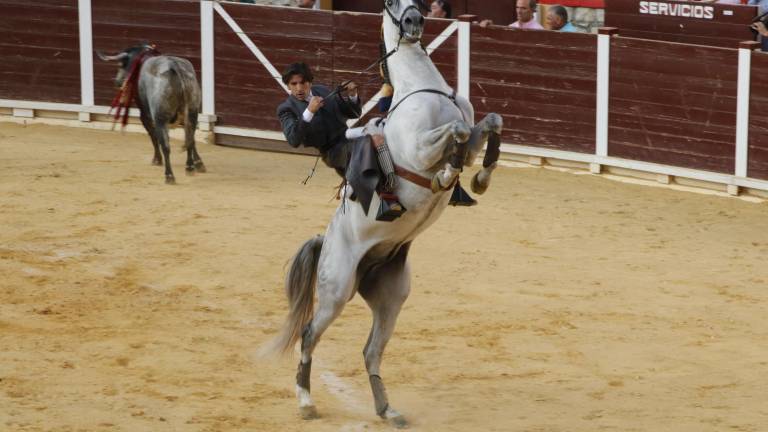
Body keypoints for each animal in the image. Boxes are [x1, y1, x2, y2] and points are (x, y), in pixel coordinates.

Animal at [99, 44, 207, 184]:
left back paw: (169, 175)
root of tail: (175, 66)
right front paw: (198, 163)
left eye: (120, 65)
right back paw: (189, 167)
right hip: (192, 113)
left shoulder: (145, 115)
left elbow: (153, 136)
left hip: (161, 118)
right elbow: (191, 140)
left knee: (166, 145)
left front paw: (157, 159)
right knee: (190, 138)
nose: (117, 82)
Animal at [268, 0, 508, 426]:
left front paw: (479, 177)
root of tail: (325, 241)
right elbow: (458, 133)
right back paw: (306, 402)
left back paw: (387, 409)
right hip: (336, 290)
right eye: (391, 3)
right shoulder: (420, 148)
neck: (421, 88)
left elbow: (486, 123)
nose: (414, 21)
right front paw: (447, 174)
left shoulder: (469, 129)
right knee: (309, 334)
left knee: (371, 350)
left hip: (391, 296)